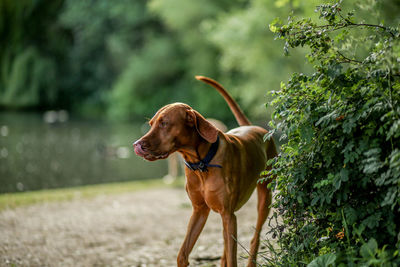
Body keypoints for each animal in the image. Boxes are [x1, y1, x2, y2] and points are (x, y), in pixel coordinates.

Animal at [133, 76, 276, 267]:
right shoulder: (200, 211)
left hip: (264, 196)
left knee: (255, 236)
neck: (200, 164)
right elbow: (182, 254)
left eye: (164, 123)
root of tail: (254, 127)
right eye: (151, 124)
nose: (136, 145)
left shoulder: (227, 214)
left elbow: (232, 257)